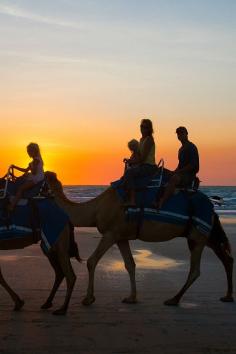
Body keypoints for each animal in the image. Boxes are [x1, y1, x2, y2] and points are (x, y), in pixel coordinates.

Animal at [44, 171, 234, 306]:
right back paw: (227, 296)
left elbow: (91, 261)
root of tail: (212, 207)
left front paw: (88, 299)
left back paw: (173, 299)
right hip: (206, 235)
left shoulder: (111, 233)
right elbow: (130, 264)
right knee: (226, 258)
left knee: (196, 269)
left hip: (197, 235)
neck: (95, 209)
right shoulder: (121, 237)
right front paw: (131, 297)